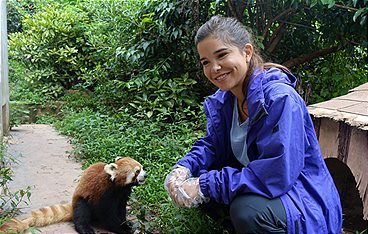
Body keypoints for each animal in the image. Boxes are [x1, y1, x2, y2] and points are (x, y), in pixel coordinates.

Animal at [0, 156, 147, 233]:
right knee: (82, 212)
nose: (146, 175)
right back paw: (84, 228)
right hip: (82, 200)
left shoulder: (123, 194)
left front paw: (126, 223)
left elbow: (121, 209)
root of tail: (72, 203)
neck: (117, 185)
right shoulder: (103, 192)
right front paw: (121, 228)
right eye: (137, 171)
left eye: (142, 168)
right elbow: (106, 213)